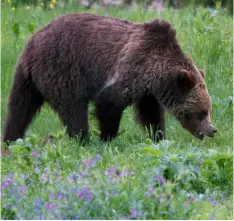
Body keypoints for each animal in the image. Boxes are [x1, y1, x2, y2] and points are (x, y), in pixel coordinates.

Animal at [2, 12, 217, 143]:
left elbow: (150, 113)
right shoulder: (133, 66)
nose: (212, 129)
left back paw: (10, 139)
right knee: (73, 110)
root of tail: (31, 43)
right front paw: (107, 138)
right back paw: (83, 139)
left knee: (19, 109)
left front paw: (159, 136)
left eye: (208, 110)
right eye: (202, 112)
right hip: (62, 70)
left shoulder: (147, 89)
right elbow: (109, 101)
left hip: (28, 80)